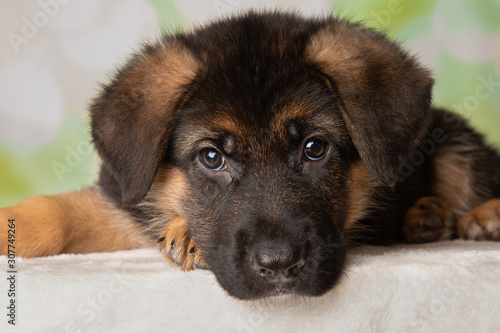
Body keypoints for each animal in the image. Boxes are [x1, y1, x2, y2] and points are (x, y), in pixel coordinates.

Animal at [2, 12, 500, 298]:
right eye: (211, 158)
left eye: (314, 148)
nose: (279, 268)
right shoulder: (124, 207)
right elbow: (57, 212)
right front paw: (13, 222)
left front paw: (187, 233)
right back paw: (426, 218)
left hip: (451, 137)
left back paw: (480, 215)